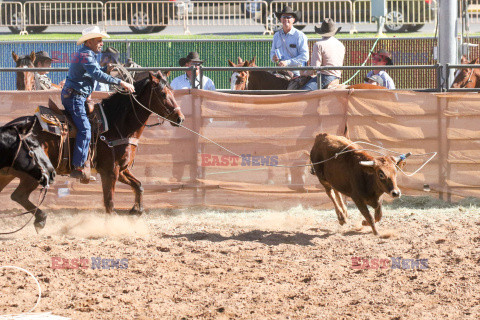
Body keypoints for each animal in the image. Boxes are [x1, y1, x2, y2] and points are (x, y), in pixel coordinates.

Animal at [0, 72, 185, 232]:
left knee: (17, 195)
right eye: (163, 93)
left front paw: (135, 211)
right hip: (33, 173)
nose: (180, 118)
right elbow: (109, 202)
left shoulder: (122, 170)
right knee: (19, 195)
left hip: (8, 174)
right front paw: (113, 225)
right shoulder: (110, 171)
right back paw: (40, 219)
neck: (116, 124)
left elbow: (139, 186)